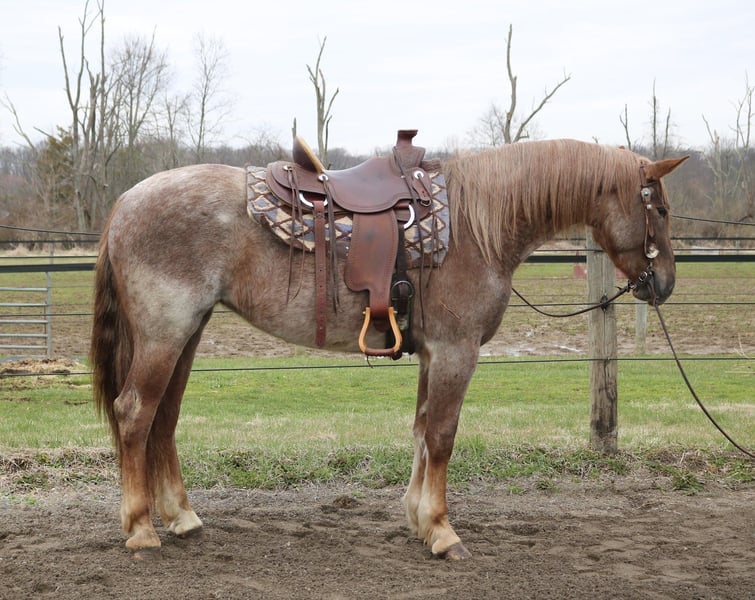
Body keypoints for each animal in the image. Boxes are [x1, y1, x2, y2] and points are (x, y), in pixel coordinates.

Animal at [90, 138, 687, 560]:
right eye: (659, 210)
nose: (663, 285)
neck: (478, 225)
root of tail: (125, 202)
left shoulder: (432, 354)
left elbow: (422, 432)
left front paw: (419, 519)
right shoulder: (455, 352)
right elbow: (442, 437)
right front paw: (443, 532)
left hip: (186, 334)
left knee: (163, 420)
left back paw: (182, 518)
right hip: (165, 334)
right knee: (135, 414)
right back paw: (141, 530)